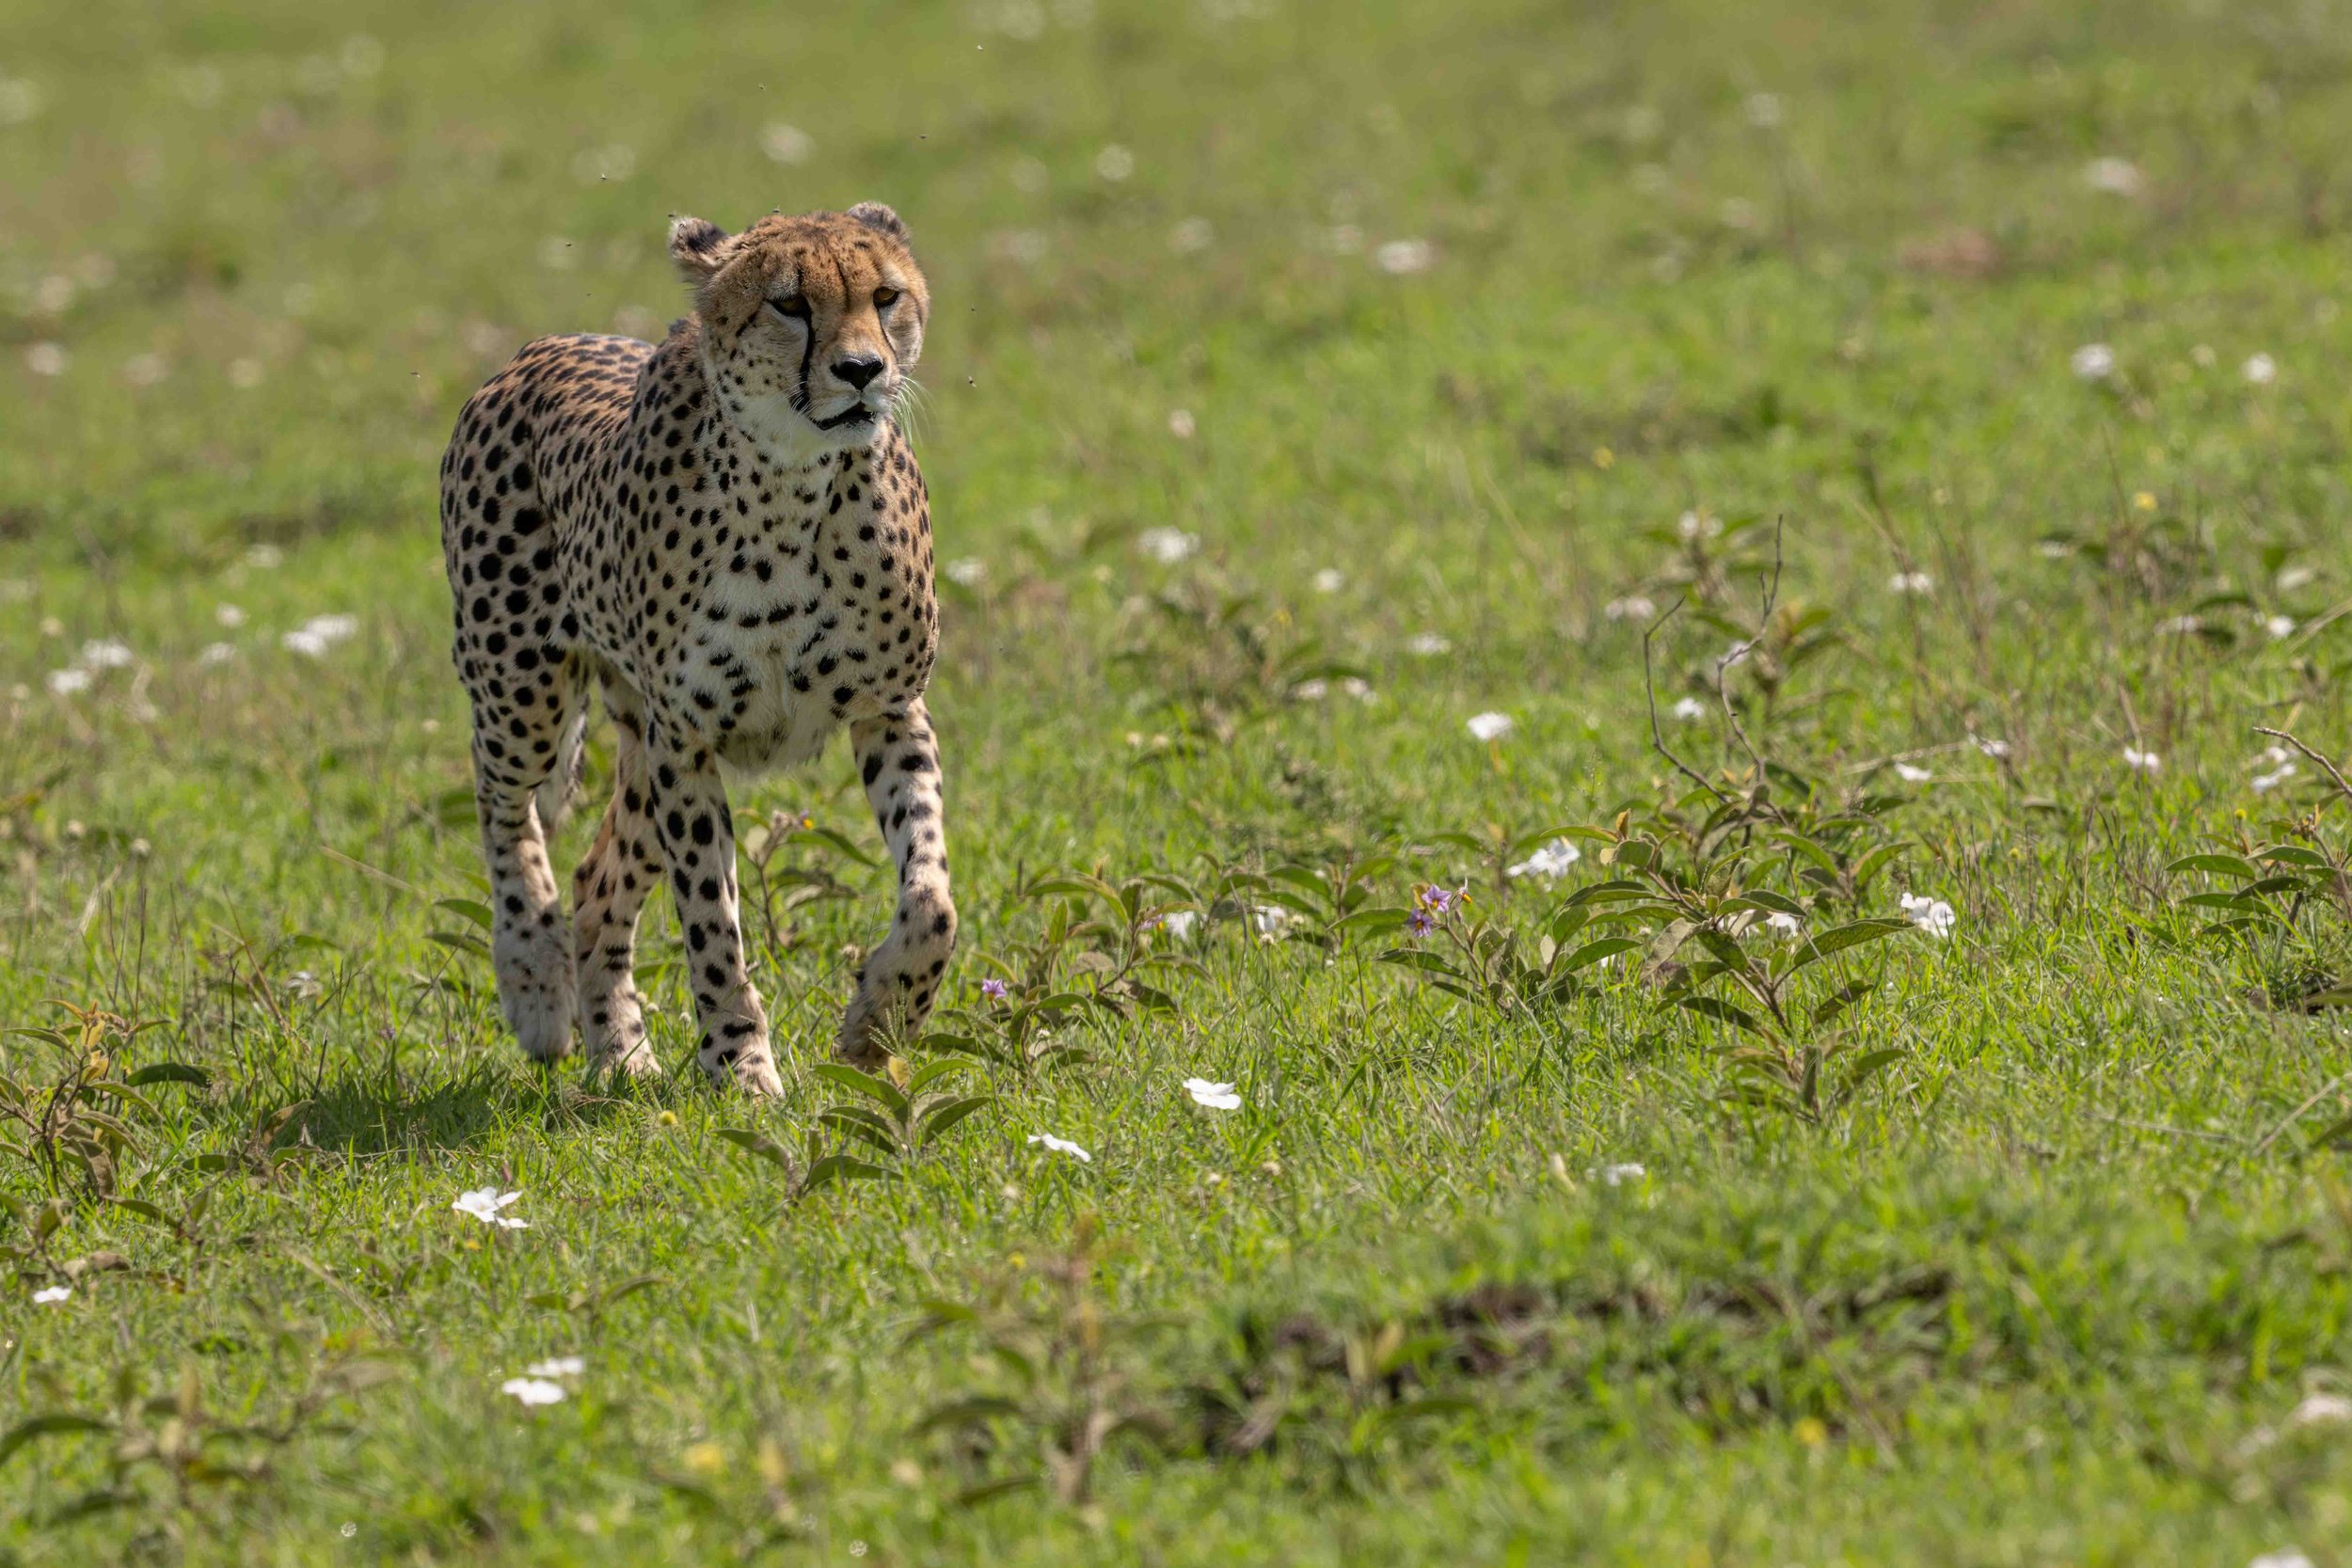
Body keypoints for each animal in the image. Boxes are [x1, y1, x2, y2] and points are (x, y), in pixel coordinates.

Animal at [437, 202, 954, 1096]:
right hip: (527, 692)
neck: (793, 486)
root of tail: (531, 352)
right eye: (790, 304)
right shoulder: (688, 740)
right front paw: (741, 1066)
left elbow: (932, 898)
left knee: (596, 885)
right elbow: (713, 921)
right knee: (502, 804)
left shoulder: (888, 709)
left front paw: (879, 1021)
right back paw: (534, 980)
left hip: (637, 748)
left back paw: (620, 1051)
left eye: (886, 296)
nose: (862, 370)